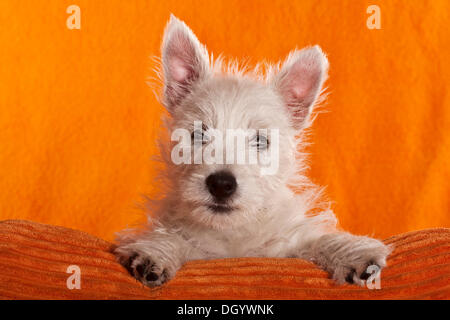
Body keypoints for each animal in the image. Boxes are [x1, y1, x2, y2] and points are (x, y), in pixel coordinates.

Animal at [114, 15, 392, 288]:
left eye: (260, 141)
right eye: (198, 135)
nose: (221, 184)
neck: (231, 232)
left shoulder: (284, 243)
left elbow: (316, 240)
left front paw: (354, 253)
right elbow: (174, 238)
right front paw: (156, 252)